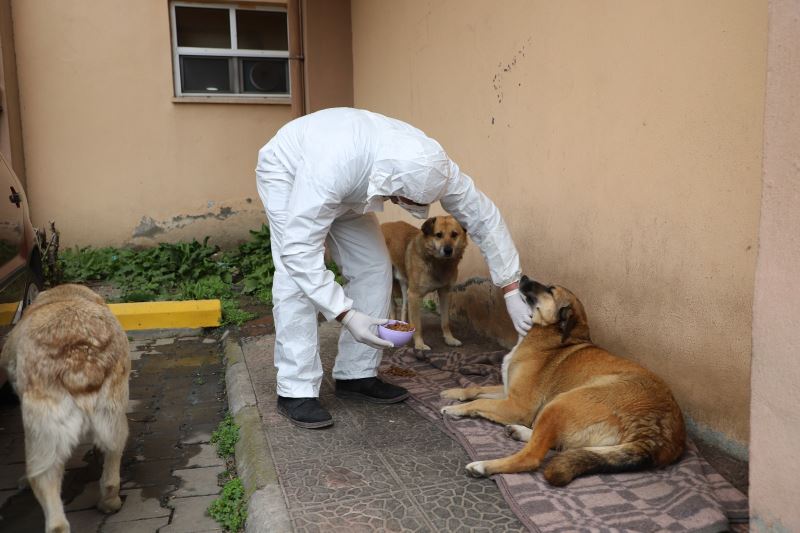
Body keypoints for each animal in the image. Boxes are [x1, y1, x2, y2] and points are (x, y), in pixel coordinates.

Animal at [0, 284, 128, 528]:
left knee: (50, 500)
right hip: (113, 417)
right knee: (112, 462)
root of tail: (79, 357)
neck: (62, 296)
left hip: (42, 435)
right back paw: (109, 501)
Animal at [382, 215, 468, 350]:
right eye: (438, 235)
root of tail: (384, 225)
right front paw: (419, 345)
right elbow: (417, 325)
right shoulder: (414, 295)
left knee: (403, 307)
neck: (439, 263)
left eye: (454, 234)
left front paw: (449, 339)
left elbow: (445, 321)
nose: (448, 250)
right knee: (392, 306)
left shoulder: (445, 293)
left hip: (404, 283)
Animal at [440, 276, 684, 484]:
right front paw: (451, 394)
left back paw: (484, 466)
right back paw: (520, 432)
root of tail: (659, 432)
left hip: (560, 403)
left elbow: (480, 402)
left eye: (550, 290)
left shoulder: (518, 406)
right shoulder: (509, 392)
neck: (552, 334)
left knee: (532, 456)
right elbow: (475, 388)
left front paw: (453, 409)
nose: (522, 277)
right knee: (559, 444)